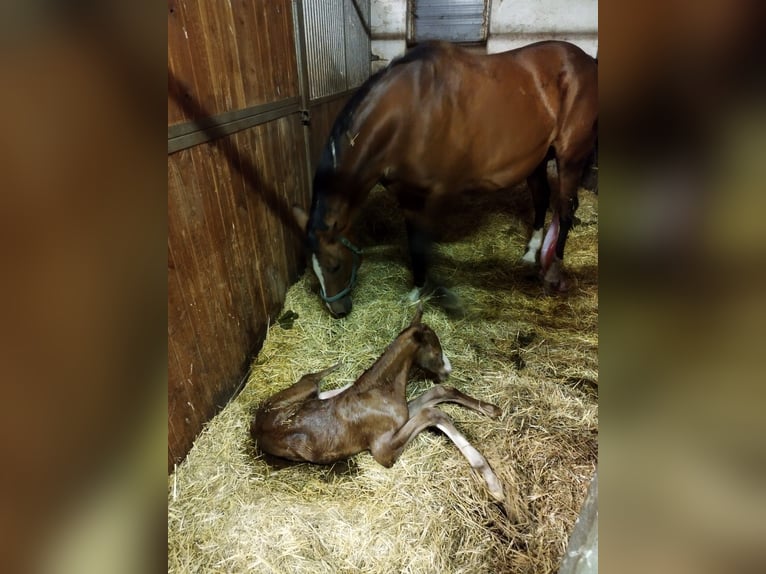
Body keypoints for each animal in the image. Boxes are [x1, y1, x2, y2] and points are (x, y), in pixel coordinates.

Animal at [250, 308, 510, 502]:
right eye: (436, 351)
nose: (448, 371)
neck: (378, 390)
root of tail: (255, 426)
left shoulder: (403, 416)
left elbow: (439, 392)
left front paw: (492, 410)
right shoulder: (383, 451)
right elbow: (434, 413)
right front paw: (493, 483)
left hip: (305, 394)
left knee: (315, 386)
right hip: (303, 390)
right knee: (311, 377)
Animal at [294, 40, 600, 320]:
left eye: (334, 265)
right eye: (312, 269)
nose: (338, 311)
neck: (410, 115)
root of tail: (587, 60)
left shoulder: (437, 194)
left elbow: (423, 245)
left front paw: (445, 298)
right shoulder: (408, 196)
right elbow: (415, 245)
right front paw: (417, 291)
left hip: (570, 157)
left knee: (566, 209)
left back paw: (554, 272)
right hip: (536, 159)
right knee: (541, 199)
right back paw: (530, 254)